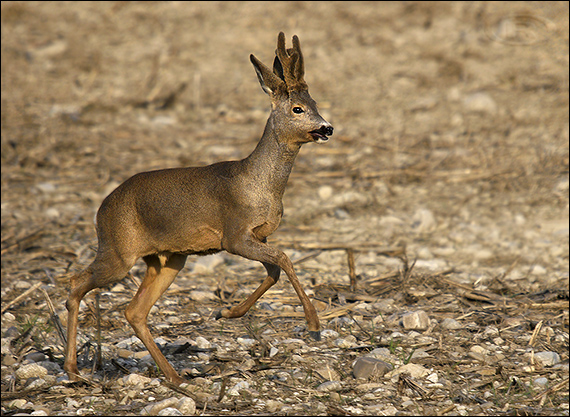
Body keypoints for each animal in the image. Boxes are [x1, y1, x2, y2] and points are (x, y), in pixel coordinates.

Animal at [63, 31, 330, 384]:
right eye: (298, 109)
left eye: (316, 105)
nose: (327, 128)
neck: (258, 183)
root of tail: (101, 209)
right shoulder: (234, 235)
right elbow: (284, 259)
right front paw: (313, 325)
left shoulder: (259, 236)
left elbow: (273, 269)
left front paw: (226, 311)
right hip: (119, 251)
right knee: (76, 283)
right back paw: (72, 370)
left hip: (168, 259)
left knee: (134, 310)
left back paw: (174, 376)